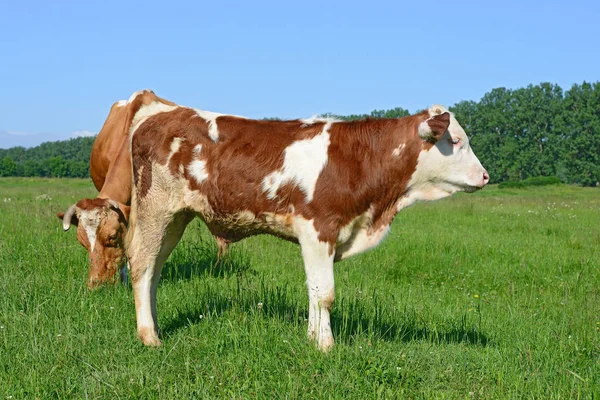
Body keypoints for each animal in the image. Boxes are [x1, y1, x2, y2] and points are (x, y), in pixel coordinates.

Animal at [125, 101, 488, 350]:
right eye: (456, 141)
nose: (485, 176)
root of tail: (163, 110)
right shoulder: (319, 228)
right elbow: (325, 293)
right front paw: (326, 346)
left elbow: (314, 291)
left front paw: (313, 338)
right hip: (155, 209)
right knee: (142, 263)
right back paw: (149, 336)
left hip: (176, 218)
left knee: (155, 268)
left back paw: (154, 326)